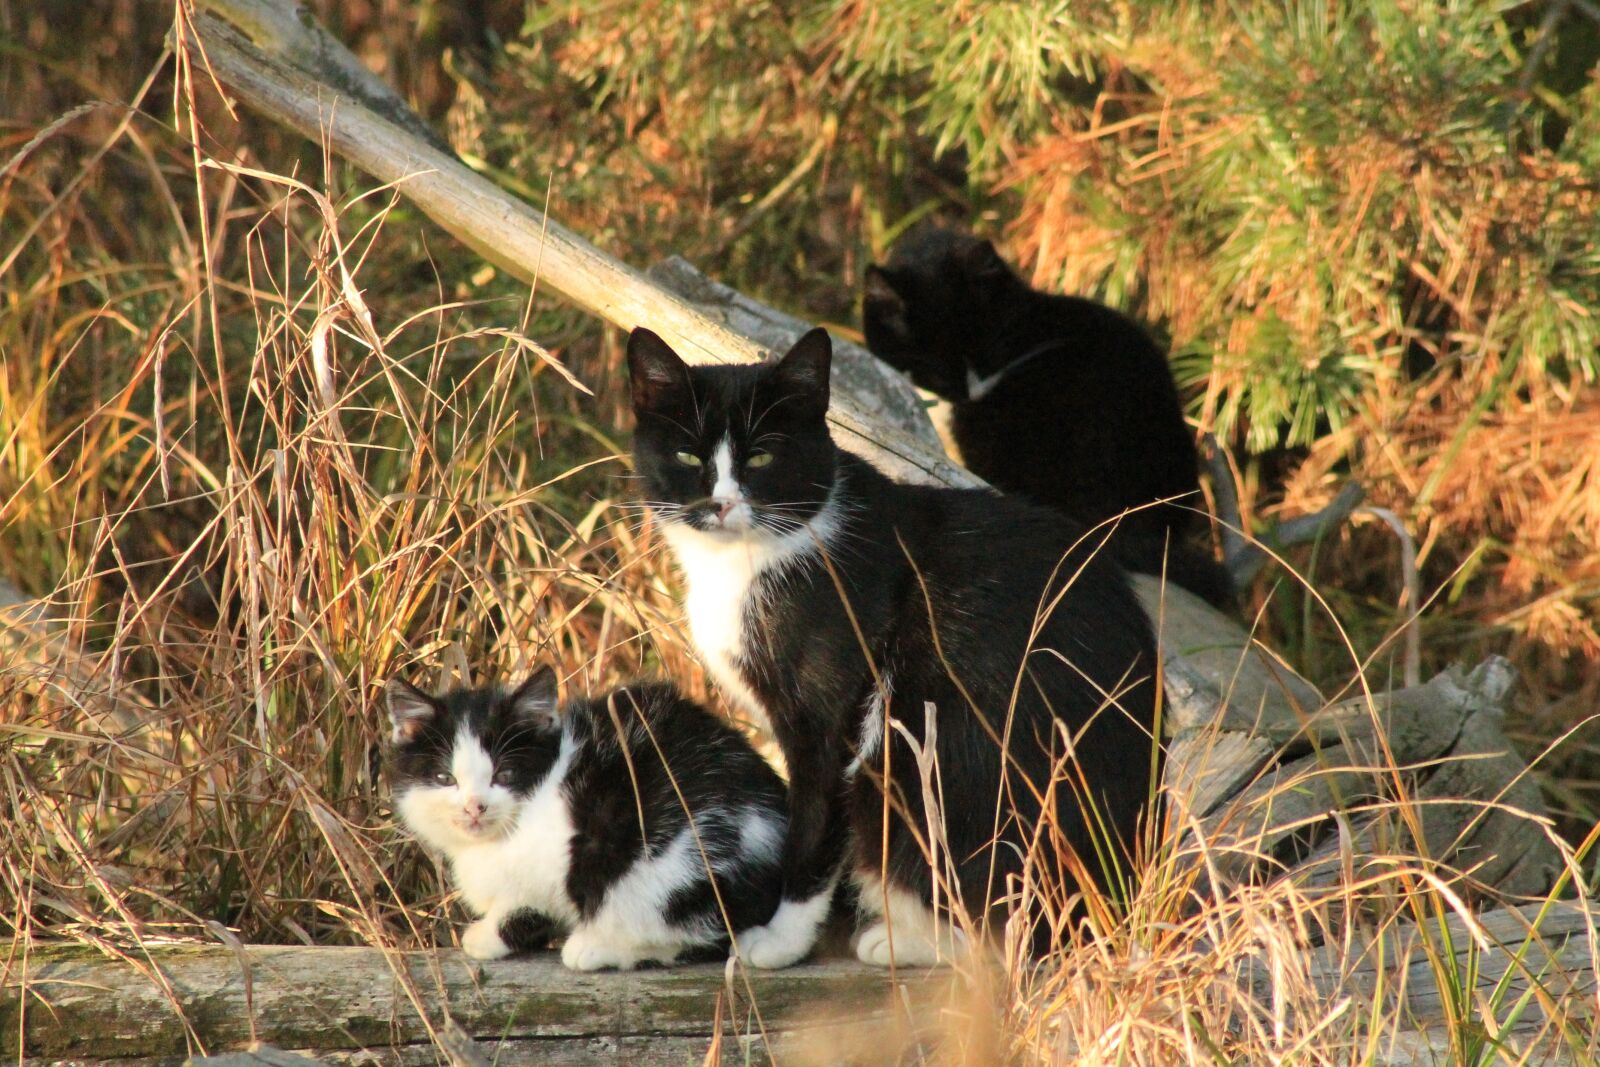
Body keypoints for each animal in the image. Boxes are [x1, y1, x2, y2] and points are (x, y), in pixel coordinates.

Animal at [387, 671, 787, 972]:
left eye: (505, 774)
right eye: (444, 779)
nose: (475, 807)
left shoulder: (554, 861)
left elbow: (527, 903)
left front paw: (489, 935)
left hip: (671, 862)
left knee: (701, 930)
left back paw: (597, 948)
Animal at [624, 326, 1164, 966]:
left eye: (761, 457)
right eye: (687, 456)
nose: (721, 504)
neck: (749, 561)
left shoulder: (832, 715)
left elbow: (813, 827)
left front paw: (782, 940)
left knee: (1013, 928)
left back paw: (908, 940)